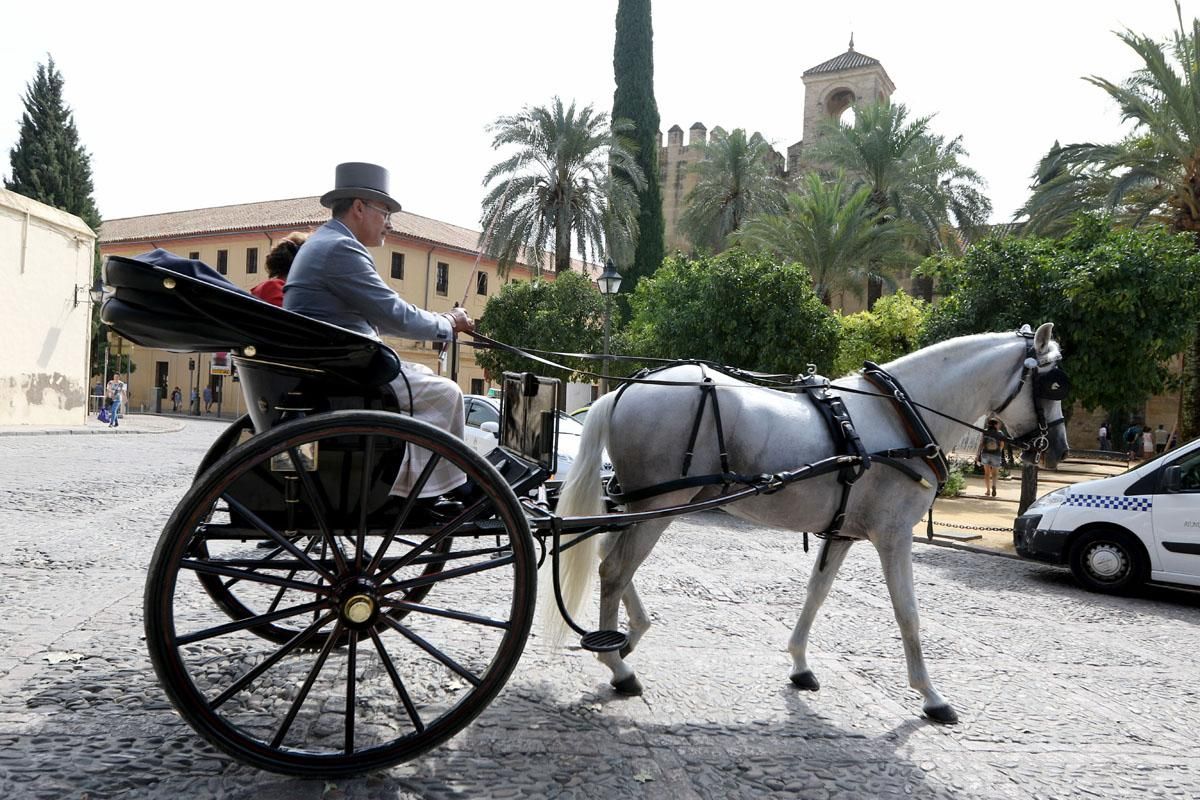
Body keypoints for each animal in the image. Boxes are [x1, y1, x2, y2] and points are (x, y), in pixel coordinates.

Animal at [552, 321, 1070, 724]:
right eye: (1053, 384)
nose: (1058, 448)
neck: (900, 415)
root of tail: (624, 388)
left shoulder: (842, 532)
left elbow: (816, 594)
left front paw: (800, 664)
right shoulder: (894, 536)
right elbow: (908, 613)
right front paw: (931, 695)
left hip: (650, 504)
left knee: (611, 557)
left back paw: (629, 634)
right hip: (663, 503)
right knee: (615, 569)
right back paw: (617, 667)